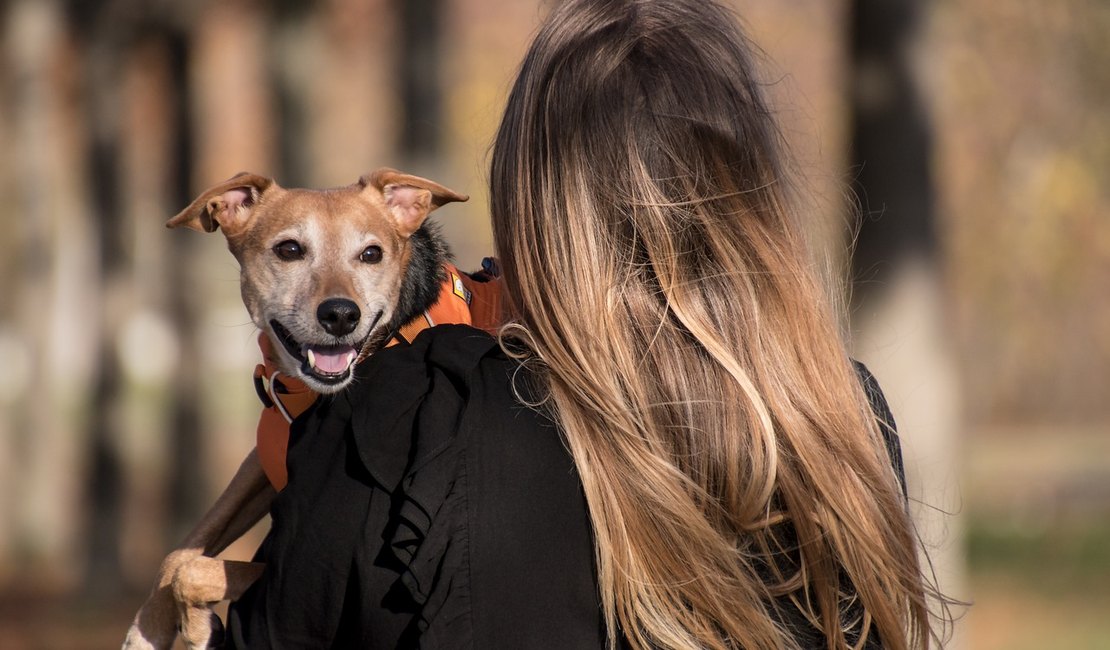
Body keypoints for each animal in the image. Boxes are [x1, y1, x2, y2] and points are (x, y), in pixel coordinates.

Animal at [123, 168, 470, 647]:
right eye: (289, 249)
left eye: (372, 254)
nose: (341, 315)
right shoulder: (262, 462)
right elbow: (182, 551)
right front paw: (147, 628)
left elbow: (194, 571)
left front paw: (196, 628)